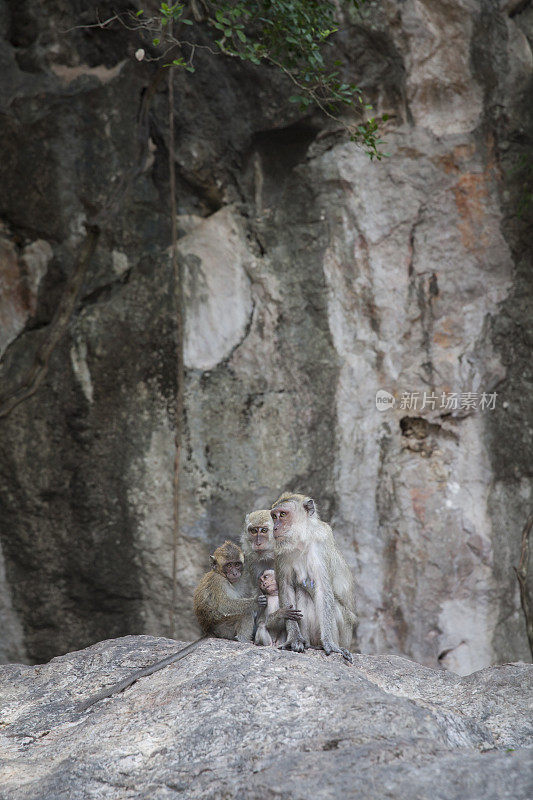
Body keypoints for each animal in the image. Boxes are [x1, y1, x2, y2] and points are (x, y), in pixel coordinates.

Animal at [272, 494, 356, 664]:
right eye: (274, 516)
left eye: (283, 514)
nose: (274, 528)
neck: (300, 541)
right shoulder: (281, 552)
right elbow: (286, 587)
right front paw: (294, 639)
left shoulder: (321, 546)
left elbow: (323, 591)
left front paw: (329, 643)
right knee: (301, 591)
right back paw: (308, 643)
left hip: (346, 632)